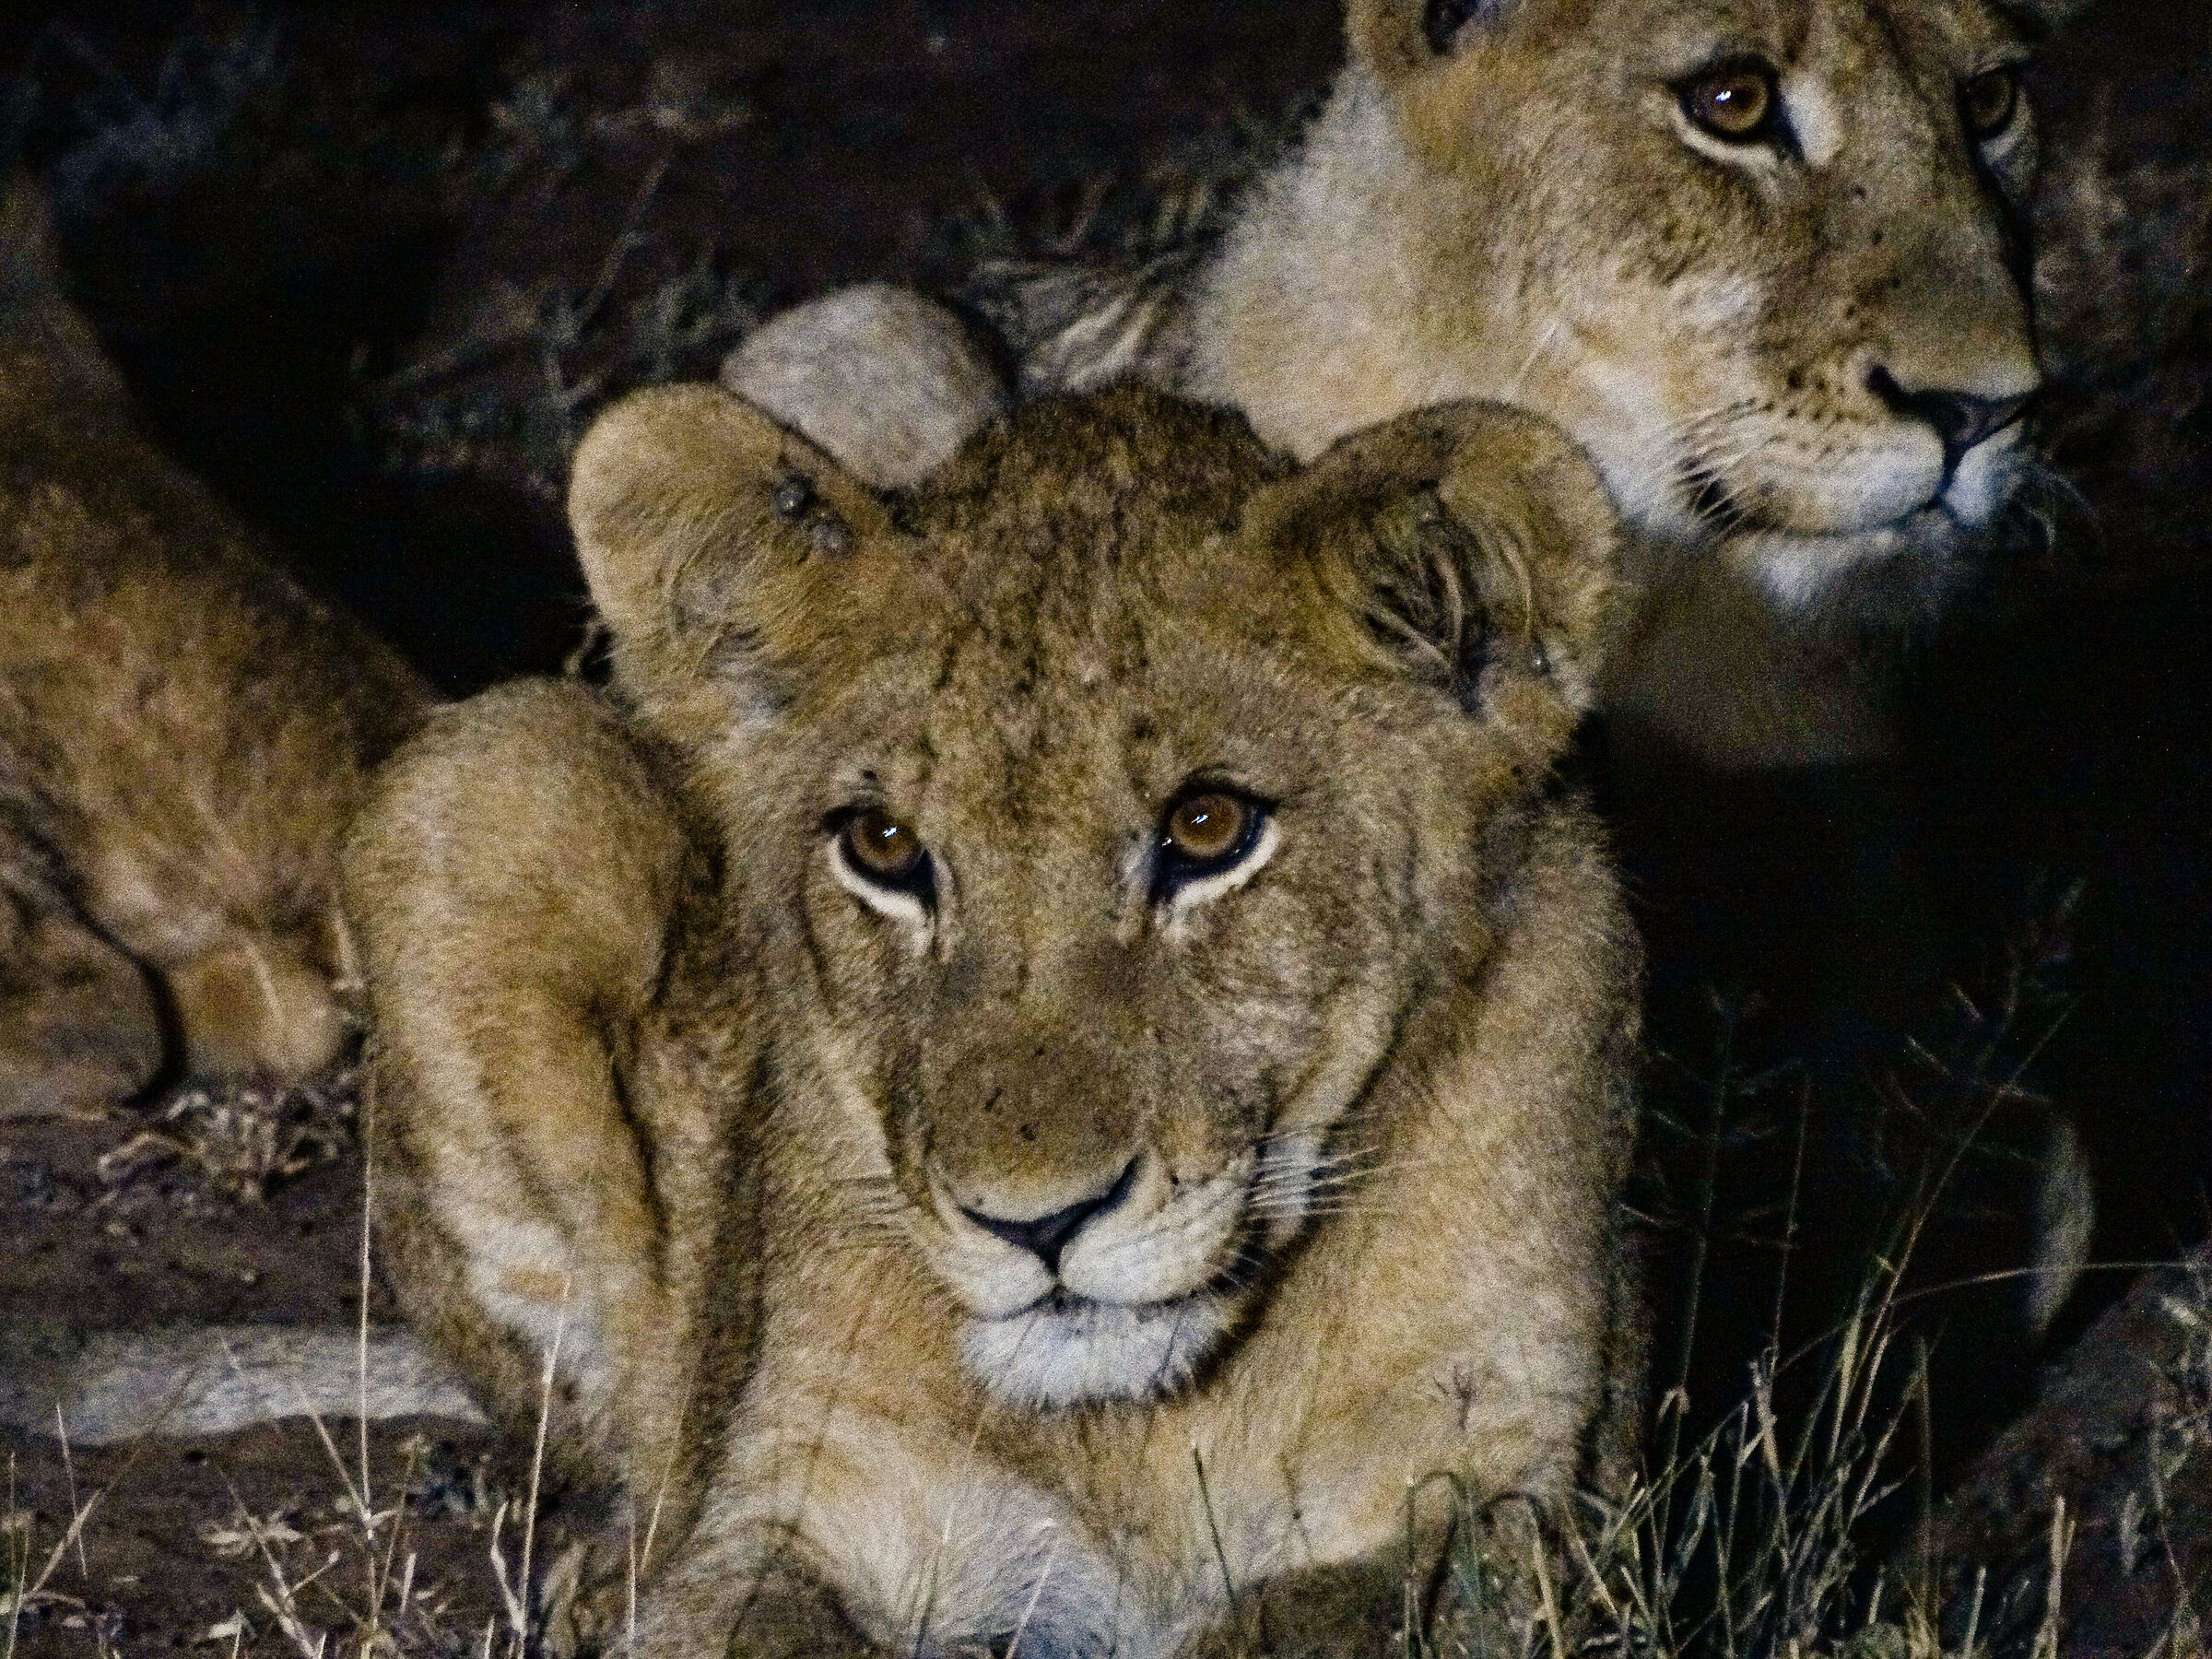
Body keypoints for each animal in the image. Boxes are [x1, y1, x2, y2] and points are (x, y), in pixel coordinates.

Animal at [332, 380, 1643, 1656]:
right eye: (884, 845)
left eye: (1209, 828)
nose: (1038, 1225)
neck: (1135, 1433)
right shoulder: (802, 1504)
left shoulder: (1513, 1486)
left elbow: (1322, 1619)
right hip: (496, 769)